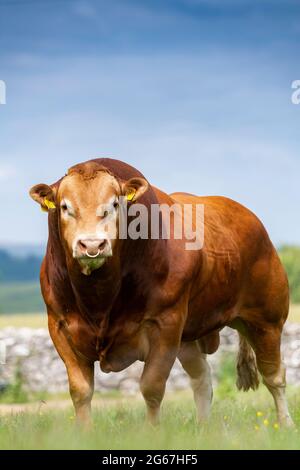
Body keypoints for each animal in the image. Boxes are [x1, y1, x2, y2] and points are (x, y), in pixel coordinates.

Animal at [29, 158, 292, 426]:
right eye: (64, 207)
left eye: (114, 204)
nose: (92, 245)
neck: (99, 300)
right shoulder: (60, 326)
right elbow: (80, 391)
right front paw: (85, 432)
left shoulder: (166, 325)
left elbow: (152, 387)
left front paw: (152, 431)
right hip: (189, 335)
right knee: (202, 378)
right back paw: (203, 426)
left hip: (266, 320)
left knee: (274, 376)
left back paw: (285, 424)